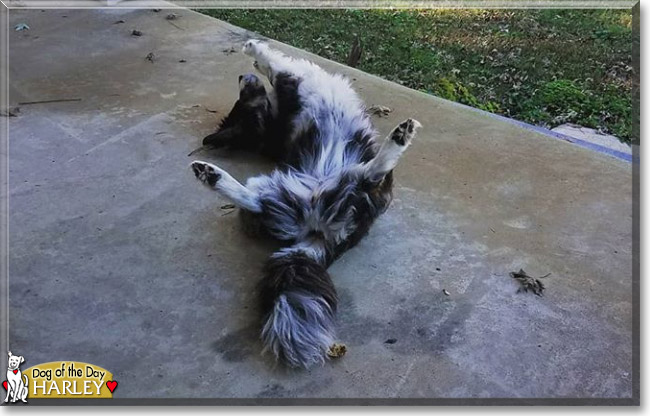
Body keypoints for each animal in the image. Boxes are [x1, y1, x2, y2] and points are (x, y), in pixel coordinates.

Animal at [190, 41, 420, 368]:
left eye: (243, 100)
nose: (241, 77)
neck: (272, 125)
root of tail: (320, 232)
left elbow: (273, 68)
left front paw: (254, 55)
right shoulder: (292, 77)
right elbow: (275, 64)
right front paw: (254, 48)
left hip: (277, 190)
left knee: (257, 201)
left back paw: (209, 174)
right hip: (352, 186)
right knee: (371, 173)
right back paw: (400, 137)